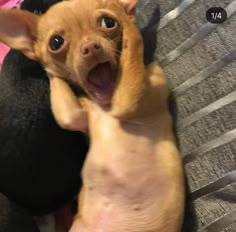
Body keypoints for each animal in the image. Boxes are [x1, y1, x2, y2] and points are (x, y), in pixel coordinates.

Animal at [0, 0, 185, 231]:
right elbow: (67, 107)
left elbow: (132, 49)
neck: (106, 106)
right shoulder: (74, 116)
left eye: (108, 23)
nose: (90, 47)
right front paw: (48, 66)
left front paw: (127, 24)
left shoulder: (131, 98)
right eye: (56, 43)